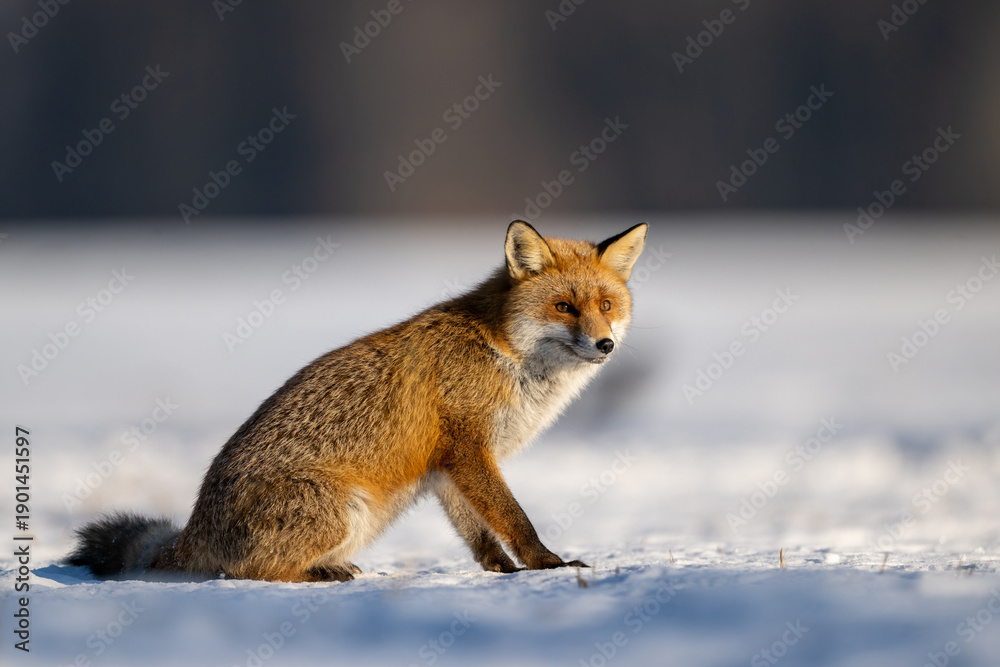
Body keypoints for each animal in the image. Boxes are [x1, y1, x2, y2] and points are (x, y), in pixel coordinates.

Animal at [67, 221, 647, 582]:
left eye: (605, 305)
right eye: (563, 306)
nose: (605, 345)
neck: (505, 355)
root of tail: (191, 532)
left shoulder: (449, 466)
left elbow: (479, 534)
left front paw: (502, 574)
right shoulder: (469, 449)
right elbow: (515, 519)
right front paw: (548, 566)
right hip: (343, 510)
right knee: (247, 572)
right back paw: (322, 574)